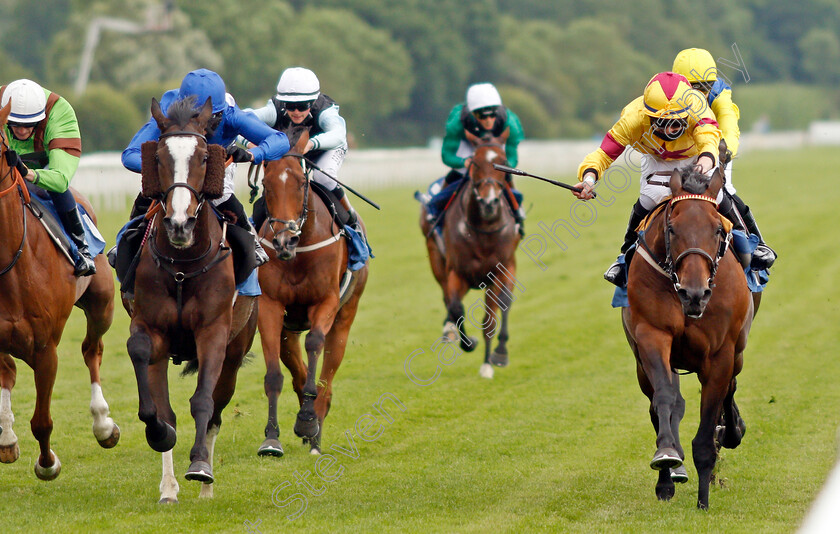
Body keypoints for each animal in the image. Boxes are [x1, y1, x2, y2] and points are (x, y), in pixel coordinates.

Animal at [0, 100, 120, 482]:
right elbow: (8, 375)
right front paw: (8, 440)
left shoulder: (45, 348)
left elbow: (41, 421)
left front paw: (47, 463)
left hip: (102, 304)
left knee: (92, 349)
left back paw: (103, 424)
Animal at [126, 98, 258, 504]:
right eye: (158, 158)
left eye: (203, 157)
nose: (179, 223)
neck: (184, 265)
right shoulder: (151, 326)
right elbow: (155, 398)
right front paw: (160, 436)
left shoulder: (214, 332)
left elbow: (203, 401)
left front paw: (199, 465)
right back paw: (169, 487)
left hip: (236, 350)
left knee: (215, 410)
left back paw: (207, 485)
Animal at [256, 125, 368, 456]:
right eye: (265, 183)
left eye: (301, 182)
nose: (284, 240)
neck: (298, 254)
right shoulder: (269, 306)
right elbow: (274, 375)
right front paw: (272, 438)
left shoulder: (326, 301)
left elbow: (315, 343)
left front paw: (307, 421)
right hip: (289, 327)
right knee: (297, 367)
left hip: (346, 314)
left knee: (327, 373)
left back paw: (315, 427)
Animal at [418, 136, 520, 384]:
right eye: (474, 162)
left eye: (504, 162)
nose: (489, 203)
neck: (484, 230)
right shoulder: (456, 272)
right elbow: (456, 307)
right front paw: (467, 342)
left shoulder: (500, 271)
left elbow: (492, 317)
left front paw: (492, 360)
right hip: (437, 260)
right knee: (448, 299)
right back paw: (449, 331)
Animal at [620, 168, 756, 510]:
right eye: (672, 228)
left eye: (719, 230)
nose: (694, 294)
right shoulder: (651, 336)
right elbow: (666, 399)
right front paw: (667, 457)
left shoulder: (721, 354)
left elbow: (708, 425)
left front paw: (703, 500)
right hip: (644, 364)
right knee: (664, 404)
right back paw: (670, 474)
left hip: (737, 353)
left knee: (730, 390)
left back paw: (730, 432)